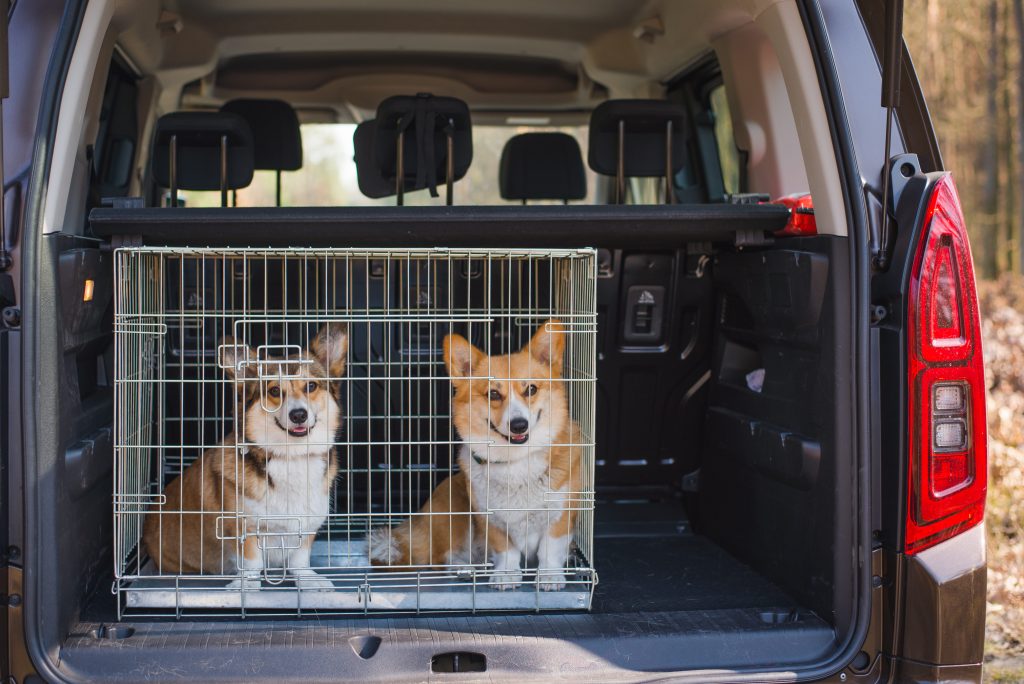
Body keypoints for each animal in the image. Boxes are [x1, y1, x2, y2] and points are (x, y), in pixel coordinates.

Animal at [140, 323, 350, 589]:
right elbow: (252, 563)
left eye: (311, 386)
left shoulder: (307, 524)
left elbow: (299, 560)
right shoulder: (243, 527)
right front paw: (247, 587)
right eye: (274, 390)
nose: (298, 415)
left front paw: (309, 581)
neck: (291, 457)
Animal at [368, 317, 581, 589]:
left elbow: (550, 550)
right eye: (493, 394)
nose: (519, 425)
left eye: (531, 389)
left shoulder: (560, 515)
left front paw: (550, 575)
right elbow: (506, 550)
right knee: (440, 558)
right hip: (455, 509)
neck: (516, 461)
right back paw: (463, 568)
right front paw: (506, 574)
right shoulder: (489, 518)